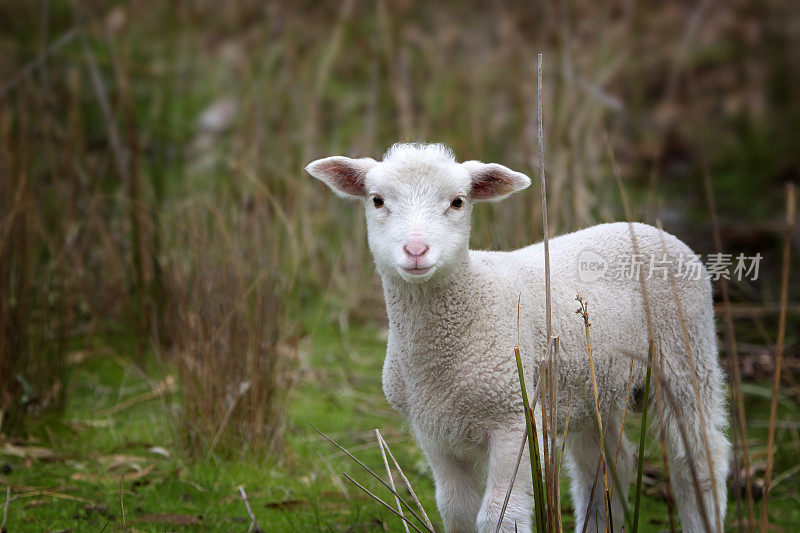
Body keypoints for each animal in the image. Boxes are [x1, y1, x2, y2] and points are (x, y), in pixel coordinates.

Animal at [306, 142, 732, 532]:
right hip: (589, 386)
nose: (416, 250)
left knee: (701, 460)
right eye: (377, 200)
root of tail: (644, 227)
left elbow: (499, 516)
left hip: (686, 356)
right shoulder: (433, 430)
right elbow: (455, 510)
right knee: (607, 465)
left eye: (458, 202)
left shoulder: (515, 417)